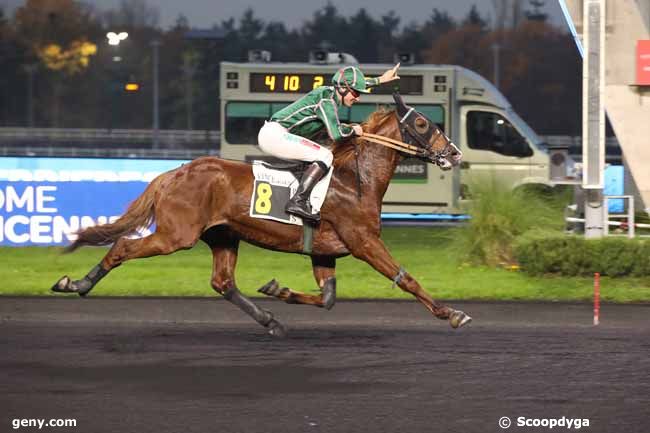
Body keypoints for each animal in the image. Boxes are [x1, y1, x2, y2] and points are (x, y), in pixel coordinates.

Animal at [49, 94, 466, 336]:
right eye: (423, 123)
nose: (455, 153)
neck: (355, 179)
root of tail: (174, 172)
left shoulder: (325, 250)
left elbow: (328, 297)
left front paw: (279, 290)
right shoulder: (364, 241)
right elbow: (406, 278)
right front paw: (451, 312)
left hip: (223, 235)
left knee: (222, 282)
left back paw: (270, 320)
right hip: (176, 234)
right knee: (122, 246)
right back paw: (76, 284)